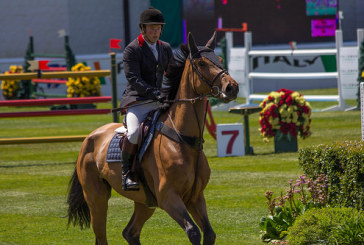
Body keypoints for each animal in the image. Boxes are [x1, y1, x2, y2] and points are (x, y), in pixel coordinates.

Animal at [67, 31, 240, 244]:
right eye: (201, 63)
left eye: (220, 60)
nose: (232, 87)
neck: (182, 139)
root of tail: (89, 138)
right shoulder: (169, 198)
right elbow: (193, 231)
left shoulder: (195, 197)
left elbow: (208, 233)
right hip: (97, 198)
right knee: (102, 236)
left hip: (145, 202)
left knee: (130, 232)